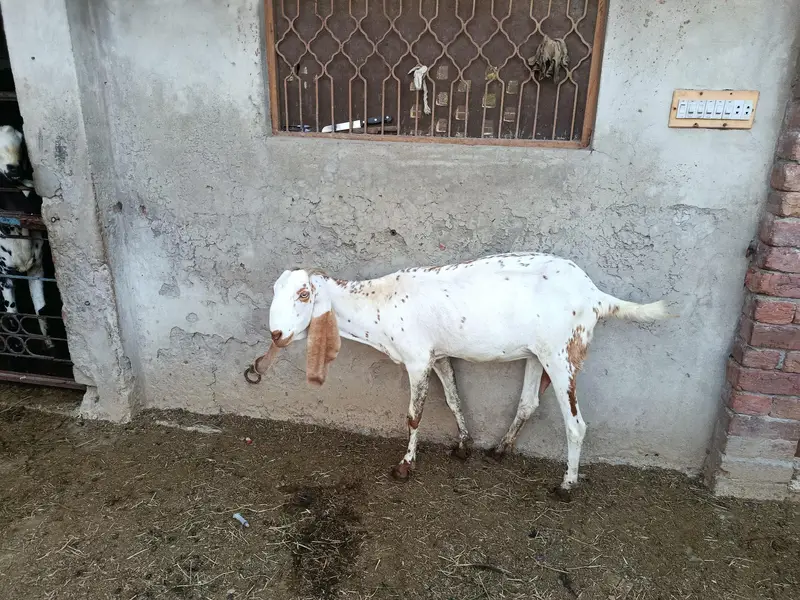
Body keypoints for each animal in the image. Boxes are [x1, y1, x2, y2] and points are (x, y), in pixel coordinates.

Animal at [259, 253, 671, 498]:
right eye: (275, 291)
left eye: (303, 294)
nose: (276, 334)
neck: (380, 303)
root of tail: (594, 295)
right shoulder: (439, 355)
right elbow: (454, 398)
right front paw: (463, 444)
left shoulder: (417, 359)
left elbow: (414, 415)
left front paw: (405, 466)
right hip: (537, 353)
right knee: (528, 402)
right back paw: (501, 449)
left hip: (562, 353)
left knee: (576, 424)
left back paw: (567, 484)